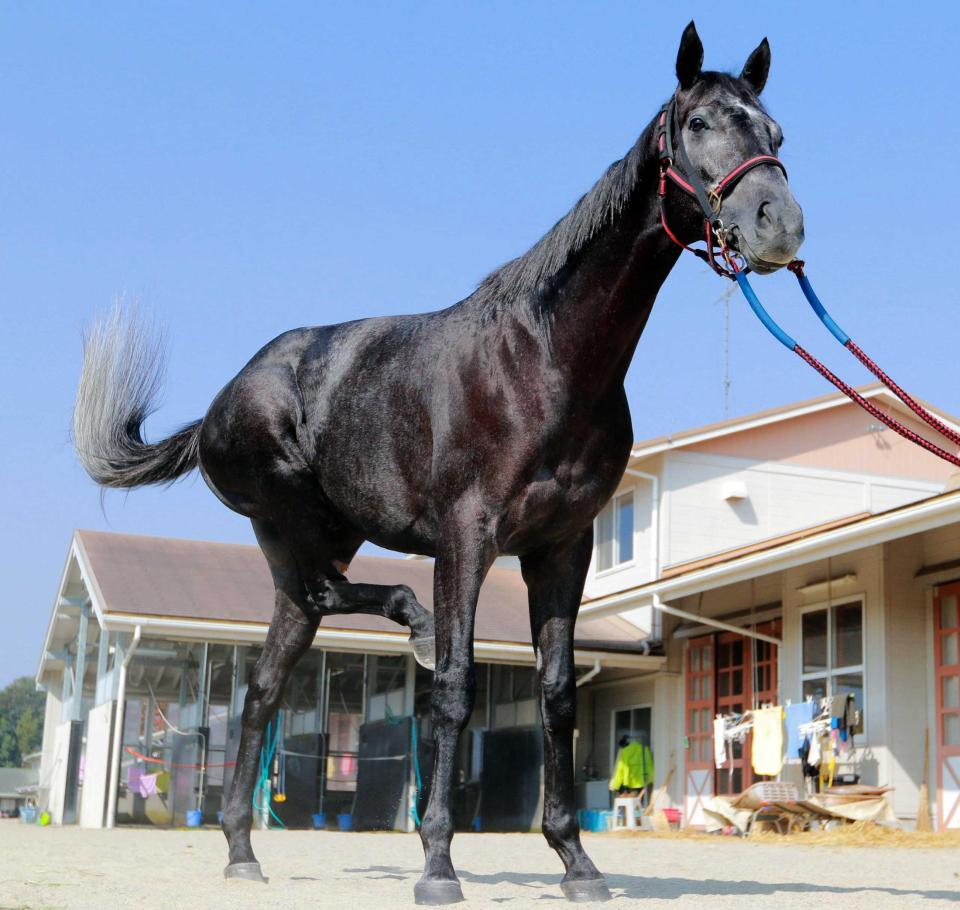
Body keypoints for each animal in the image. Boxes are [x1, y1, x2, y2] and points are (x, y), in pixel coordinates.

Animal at [73, 21, 804, 904]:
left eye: (775, 134)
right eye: (698, 124)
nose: (779, 224)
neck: (545, 359)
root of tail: (218, 405)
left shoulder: (563, 548)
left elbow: (558, 696)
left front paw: (576, 861)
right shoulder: (465, 539)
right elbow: (453, 689)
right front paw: (437, 862)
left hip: (305, 555)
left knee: (263, 689)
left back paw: (243, 850)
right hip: (290, 518)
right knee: (331, 598)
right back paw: (409, 628)